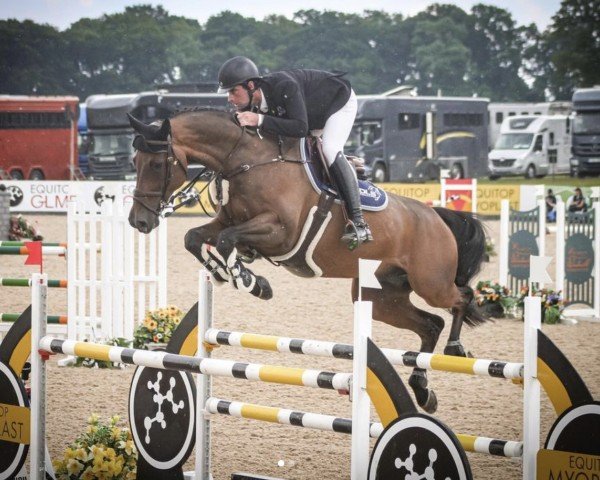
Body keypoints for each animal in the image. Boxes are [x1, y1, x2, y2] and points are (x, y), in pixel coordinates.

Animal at [126, 109, 488, 412]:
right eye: (135, 160)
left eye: (157, 164)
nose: (138, 221)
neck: (246, 160)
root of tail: (436, 216)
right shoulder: (227, 221)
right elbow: (194, 238)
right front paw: (228, 273)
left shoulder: (280, 232)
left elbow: (229, 240)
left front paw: (251, 281)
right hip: (381, 296)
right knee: (431, 324)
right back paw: (423, 391)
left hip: (431, 283)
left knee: (461, 299)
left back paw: (456, 349)